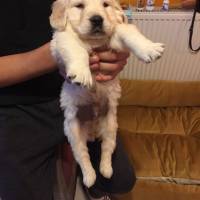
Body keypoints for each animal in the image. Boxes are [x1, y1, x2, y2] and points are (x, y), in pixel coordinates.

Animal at [49, 0, 164, 188]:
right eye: (79, 5)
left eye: (105, 4)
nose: (97, 19)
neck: (93, 42)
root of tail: (93, 133)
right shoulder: (60, 40)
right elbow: (75, 47)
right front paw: (82, 73)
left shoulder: (114, 42)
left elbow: (126, 30)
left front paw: (149, 48)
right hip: (73, 132)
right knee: (82, 156)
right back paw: (90, 177)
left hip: (111, 126)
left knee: (107, 149)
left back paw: (106, 170)